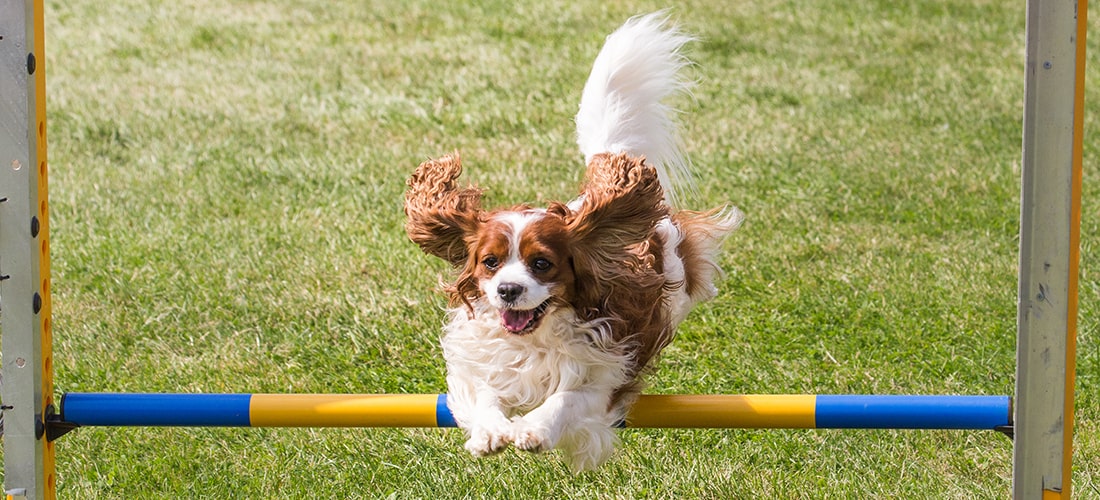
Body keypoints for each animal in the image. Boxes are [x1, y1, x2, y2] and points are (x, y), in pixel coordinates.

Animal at [403, 12, 742, 471]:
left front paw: (533, 429)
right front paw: (491, 432)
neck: (538, 339)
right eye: (490, 262)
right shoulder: (484, 362)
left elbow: (565, 399)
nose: (508, 290)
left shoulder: (606, 374)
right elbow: (485, 394)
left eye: (542, 263)